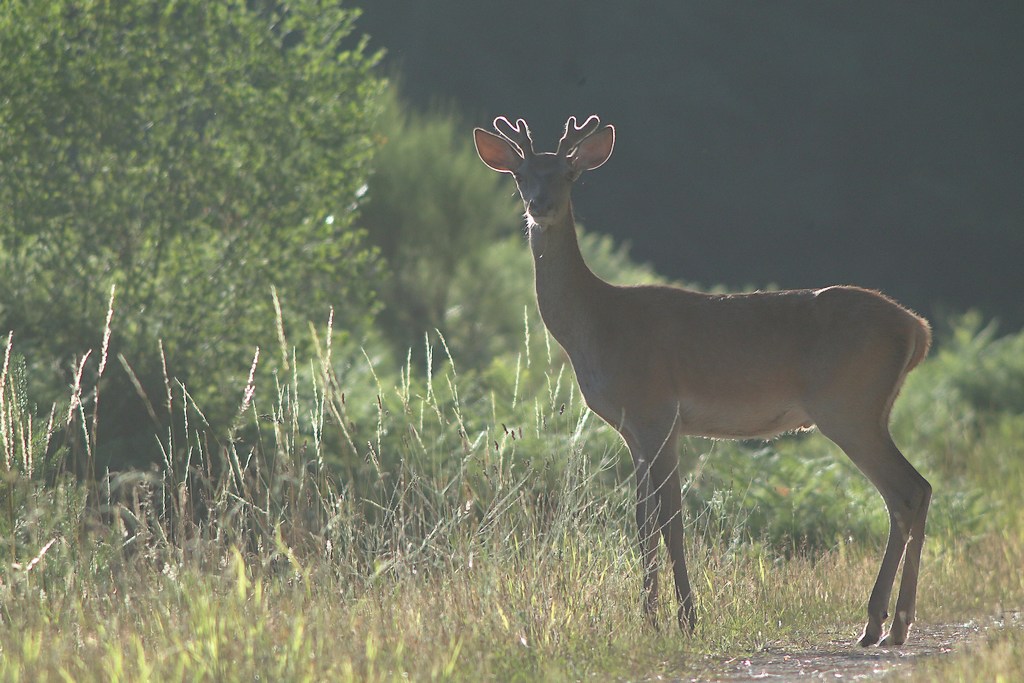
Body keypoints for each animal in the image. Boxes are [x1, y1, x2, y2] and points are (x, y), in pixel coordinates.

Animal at [473, 115, 933, 647]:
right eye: (520, 175)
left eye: (568, 174)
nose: (539, 206)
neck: (597, 324)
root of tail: (916, 328)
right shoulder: (637, 430)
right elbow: (644, 521)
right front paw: (651, 618)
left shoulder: (657, 411)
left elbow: (670, 519)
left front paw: (685, 618)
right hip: (869, 410)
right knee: (911, 493)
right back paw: (886, 622)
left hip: (849, 407)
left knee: (908, 490)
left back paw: (887, 624)